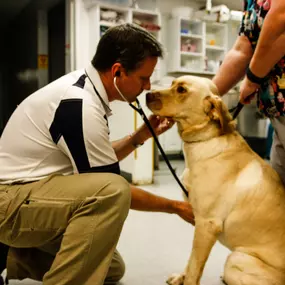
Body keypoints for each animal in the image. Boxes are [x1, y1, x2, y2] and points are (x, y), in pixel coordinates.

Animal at [146, 75, 285, 284]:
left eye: (181, 90)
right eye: (172, 83)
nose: (147, 94)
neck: (206, 140)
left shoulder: (207, 224)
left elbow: (195, 267)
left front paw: (187, 280)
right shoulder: (198, 222)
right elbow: (191, 260)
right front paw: (181, 277)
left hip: (235, 259)